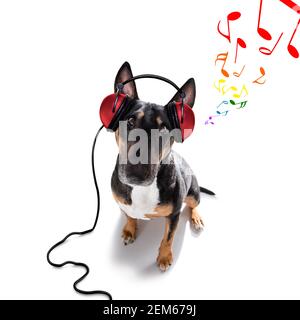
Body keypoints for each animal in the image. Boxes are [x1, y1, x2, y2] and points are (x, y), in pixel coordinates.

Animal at [110, 62, 213, 270]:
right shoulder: (122, 203)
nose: (137, 172)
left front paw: (164, 257)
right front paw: (129, 230)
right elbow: (129, 215)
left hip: (193, 192)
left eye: (164, 129)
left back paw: (196, 218)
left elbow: (168, 237)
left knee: (195, 204)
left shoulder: (174, 215)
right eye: (130, 121)